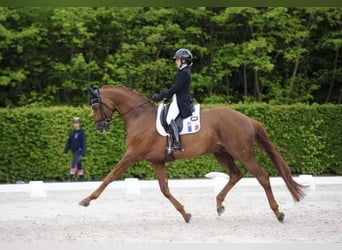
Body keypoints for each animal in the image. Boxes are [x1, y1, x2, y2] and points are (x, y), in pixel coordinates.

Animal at [80, 84, 304, 223]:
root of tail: (247, 118)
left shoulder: (131, 155)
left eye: (95, 105)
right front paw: (185, 214)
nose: (100, 127)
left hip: (243, 153)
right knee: (235, 175)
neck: (138, 116)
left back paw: (278, 213)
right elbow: (165, 189)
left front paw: (87, 199)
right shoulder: (157, 161)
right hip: (221, 153)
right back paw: (219, 204)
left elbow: (110, 177)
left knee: (262, 177)